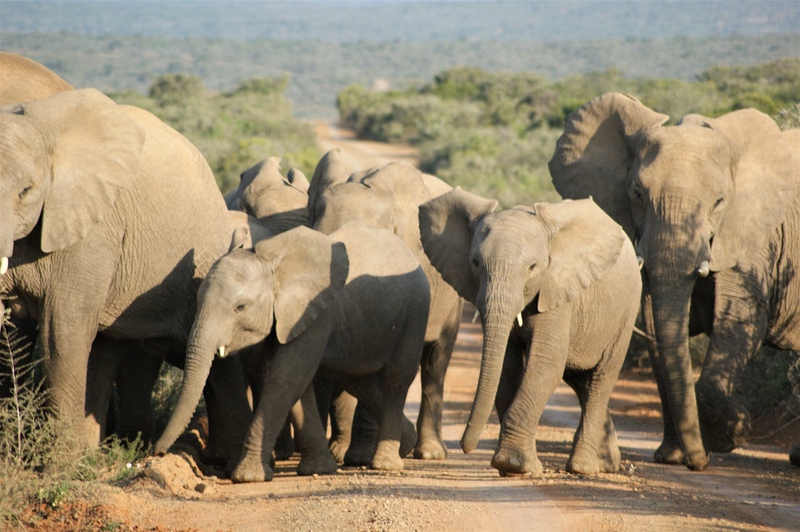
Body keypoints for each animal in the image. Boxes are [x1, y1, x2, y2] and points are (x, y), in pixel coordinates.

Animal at [0, 88, 252, 463]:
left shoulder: (95, 227)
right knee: (108, 350)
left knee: (217, 362)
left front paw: (60, 467)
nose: (156, 455)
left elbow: (62, 329)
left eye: (26, 191)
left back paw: (225, 462)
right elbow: (13, 333)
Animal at [155, 223, 431, 483]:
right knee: (358, 381)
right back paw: (406, 443)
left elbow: (287, 377)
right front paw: (317, 469)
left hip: (415, 312)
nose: (156, 452)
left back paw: (385, 464)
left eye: (240, 307)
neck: (273, 265)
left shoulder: (315, 312)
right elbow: (294, 383)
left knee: (396, 380)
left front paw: (248, 476)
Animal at [419, 188, 641, 477]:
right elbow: (507, 365)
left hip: (626, 312)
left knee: (600, 379)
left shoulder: (557, 289)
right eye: (475, 263)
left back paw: (583, 467)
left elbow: (546, 363)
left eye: (533, 267)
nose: (464, 447)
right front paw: (513, 468)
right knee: (580, 380)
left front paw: (513, 464)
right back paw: (606, 463)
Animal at [549, 92, 800, 469]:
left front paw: (733, 432)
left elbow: (740, 317)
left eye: (719, 202)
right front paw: (672, 457)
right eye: (638, 194)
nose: (701, 463)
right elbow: (656, 326)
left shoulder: (754, 234)